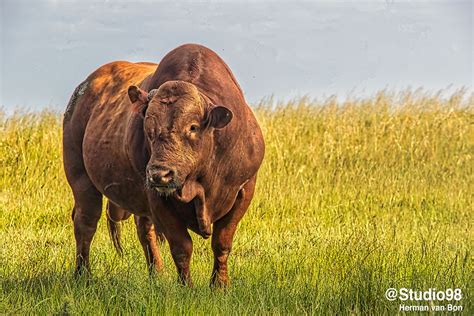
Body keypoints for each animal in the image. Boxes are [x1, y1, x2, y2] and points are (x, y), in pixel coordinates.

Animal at [61, 42, 264, 286]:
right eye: (148, 128)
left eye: (193, 127)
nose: (159, 174)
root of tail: (80, 93)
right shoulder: (158, 199)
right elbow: (182, 247)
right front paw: (187, 286)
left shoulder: (243, 190)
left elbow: (221, 243)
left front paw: (219, 285)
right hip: (80, 179)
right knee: (86, 223)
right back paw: (83, 275)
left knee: (144, 230)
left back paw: (156, 273)